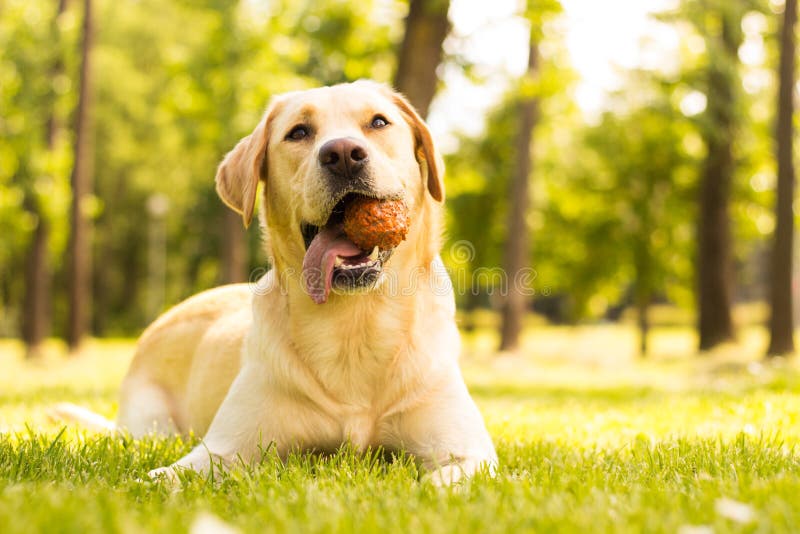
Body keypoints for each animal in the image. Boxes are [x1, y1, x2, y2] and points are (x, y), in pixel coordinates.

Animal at [54, 81, 494, 488]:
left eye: (379, 122)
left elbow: (437, 484)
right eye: (299, 132)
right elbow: (163, 478)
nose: (343, 154)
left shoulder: (469, 453)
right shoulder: (222, 450)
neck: (354, 324)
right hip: (151, 424)